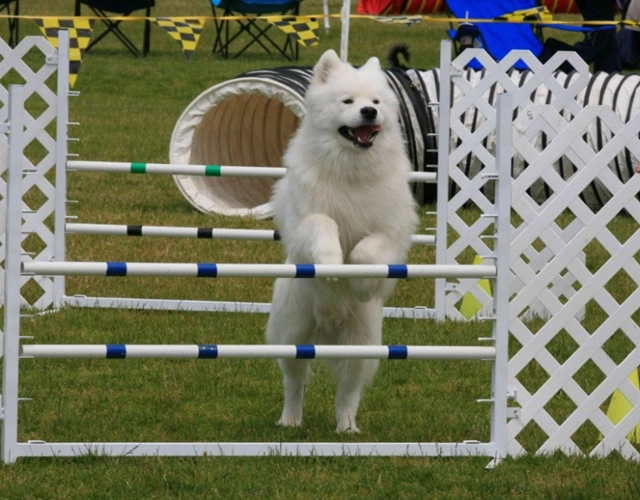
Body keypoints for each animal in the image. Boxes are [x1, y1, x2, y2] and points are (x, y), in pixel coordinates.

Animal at [264, 50, 418, 434]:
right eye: (347, 102)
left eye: (376, 102)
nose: (368, 113)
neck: (351, 170)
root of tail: (328, 324)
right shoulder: (307, 218)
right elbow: (325, 226)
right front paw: (332, 264)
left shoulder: (389, 231)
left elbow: (368, 250)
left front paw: (361, 283)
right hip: (295, 333)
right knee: (295, 381)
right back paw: (291, 421)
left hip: (360, 342)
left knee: (348, 390)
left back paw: (346, 427)